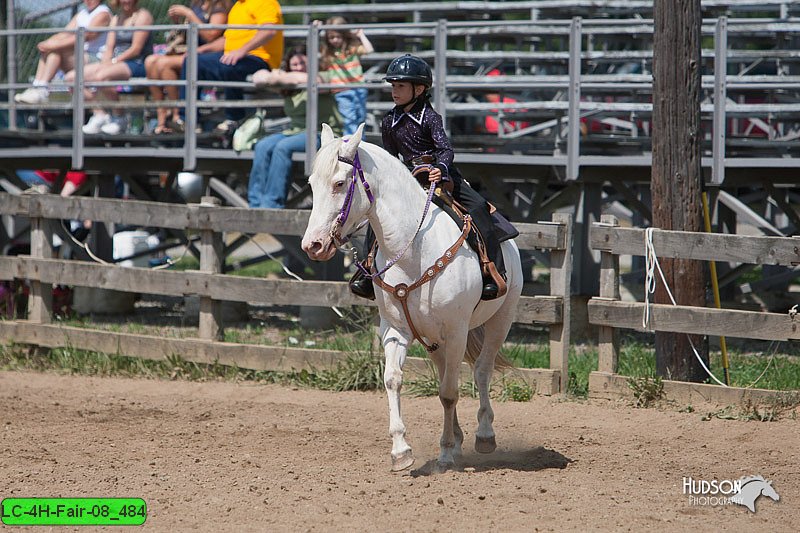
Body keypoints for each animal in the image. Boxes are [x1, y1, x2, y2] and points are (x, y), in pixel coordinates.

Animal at [302, 124, 524, 470]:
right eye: (311, 184)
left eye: (339, 183)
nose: (312, 245)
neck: (413, 251)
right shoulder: (395, 330)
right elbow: (394, 380)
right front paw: (401, 451)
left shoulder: (457, 331)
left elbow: (449, 392)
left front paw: (445, 452)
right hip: (432, 339)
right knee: (447, 372)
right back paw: (459, 439)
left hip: (501, 319)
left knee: (481, 370)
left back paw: (484, 435)